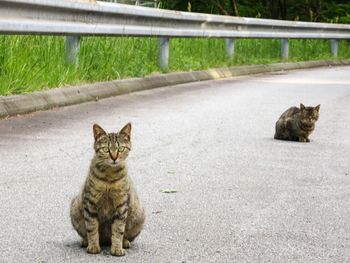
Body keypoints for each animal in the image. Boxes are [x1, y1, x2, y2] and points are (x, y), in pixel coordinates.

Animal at [70, 122, 144, 256]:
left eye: (121, 148)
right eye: (106, 149)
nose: (114, 157)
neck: (110, 176)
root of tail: (105, 240)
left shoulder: (121, 204)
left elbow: (118, 229)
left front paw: (117, 248)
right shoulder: (90, 203)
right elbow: (92, 227)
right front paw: (93, 246)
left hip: (139, 215)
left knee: (125, 235)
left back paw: (124, 242)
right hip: (75, 209)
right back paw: (86, 241)